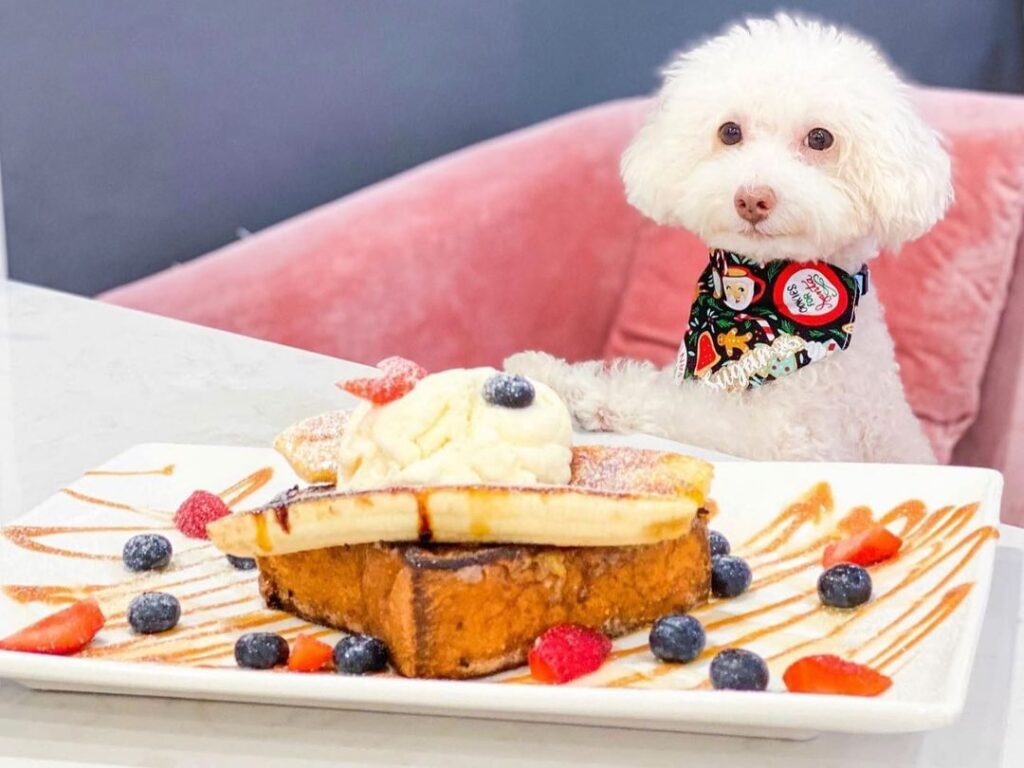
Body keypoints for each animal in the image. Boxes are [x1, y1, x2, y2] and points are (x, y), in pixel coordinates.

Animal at [509, 15, 950, 462]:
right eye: (730, 131)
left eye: (820, 138)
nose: (752, 199)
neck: (761, 302)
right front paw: (546, 371)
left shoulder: (794, 442)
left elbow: (680, 406)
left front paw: (590, 392)